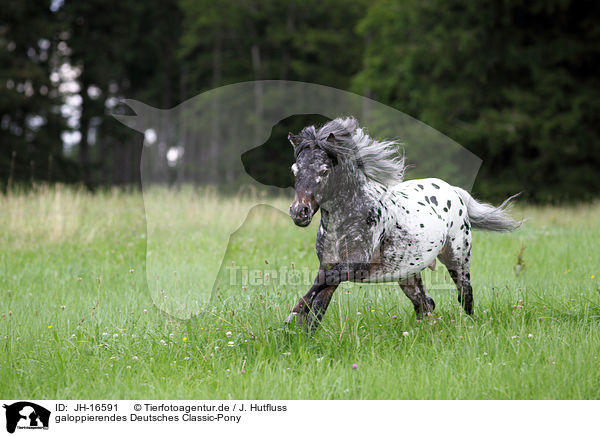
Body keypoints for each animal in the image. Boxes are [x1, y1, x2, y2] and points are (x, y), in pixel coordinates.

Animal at [284, 117, 516, 328]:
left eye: (324, 171)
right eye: (294, 170)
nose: (299, 212)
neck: (343, 221)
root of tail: (453, 190)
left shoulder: (356, 264)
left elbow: (320, 285)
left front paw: (292, 315)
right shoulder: (329, 264)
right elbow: (318, 305)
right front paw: (299, 323)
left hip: (457, 259)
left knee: (464, 294)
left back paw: (469, 325)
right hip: (409, 273)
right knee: (425, 303)